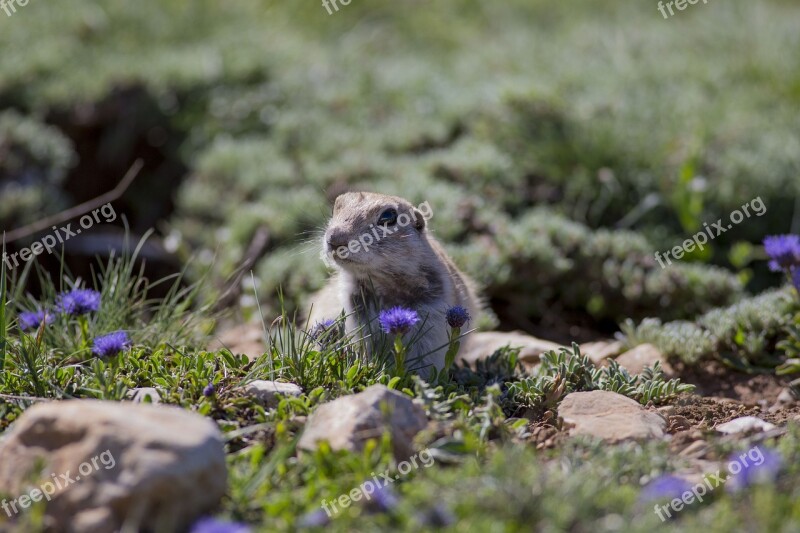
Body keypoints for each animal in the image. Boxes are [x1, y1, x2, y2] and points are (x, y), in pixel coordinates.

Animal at [306, 191, 482, 374]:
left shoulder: (432, 320)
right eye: (335, 208)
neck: (381, 281)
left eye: (388, 216)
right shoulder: (357, 316)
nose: (334, 239)